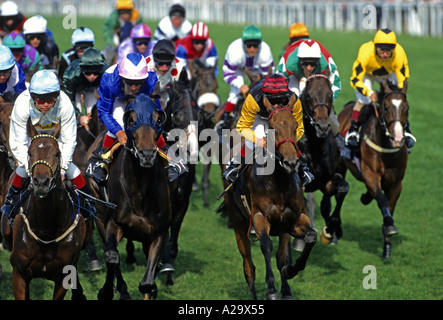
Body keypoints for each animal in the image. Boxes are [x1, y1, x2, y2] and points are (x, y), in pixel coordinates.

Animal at [8, 123, 90, 300]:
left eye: (57, 154)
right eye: (29, 153)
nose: (41, 183)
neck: (46, 230)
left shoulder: (64, 277)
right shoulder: (18, 273)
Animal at [89, 94, 173, 298]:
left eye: (158, 119)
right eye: (131, 120)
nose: (147, 155)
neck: (140, 192)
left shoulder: (158, 233)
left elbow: (148, 284)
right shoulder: (114, 224)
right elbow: (112, 257)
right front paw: (106, 291)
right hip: (100, 215)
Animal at [227, 94, 318, 298]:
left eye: (295, 125)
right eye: (273, 127)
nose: (291, 163)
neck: (279, 182)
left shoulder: (295, 220)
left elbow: (311, 237)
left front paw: (290, 271)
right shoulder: (259, 218)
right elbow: (266, 245)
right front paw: (271, 289)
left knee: (280, 257)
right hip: (238, 224)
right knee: (249, 268)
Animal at [298, 74, 350, 245]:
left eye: (330, 94)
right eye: (308, 95)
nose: (322, 127)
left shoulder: (325, 181)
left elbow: (343, 188)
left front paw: (330, 231)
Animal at [340, 81, 410, 258]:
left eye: (407, 108)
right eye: (385, 108)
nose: (398, 138)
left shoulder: (396, 182)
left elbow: (390, 206)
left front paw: (387, 246)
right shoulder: (370, 174)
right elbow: (382, 199)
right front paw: (389, 226)